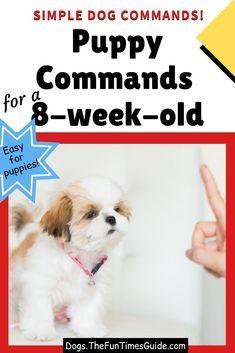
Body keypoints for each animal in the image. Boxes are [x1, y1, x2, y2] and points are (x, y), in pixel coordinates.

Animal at [9, 177, 130, 340]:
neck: (80, 255)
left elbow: (88, 310)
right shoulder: (40, 285)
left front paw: (89, 329)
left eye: (117, 209)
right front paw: (40, 330)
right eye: (90, 214)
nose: (112, 218)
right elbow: (40, 309)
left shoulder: (91, 290)